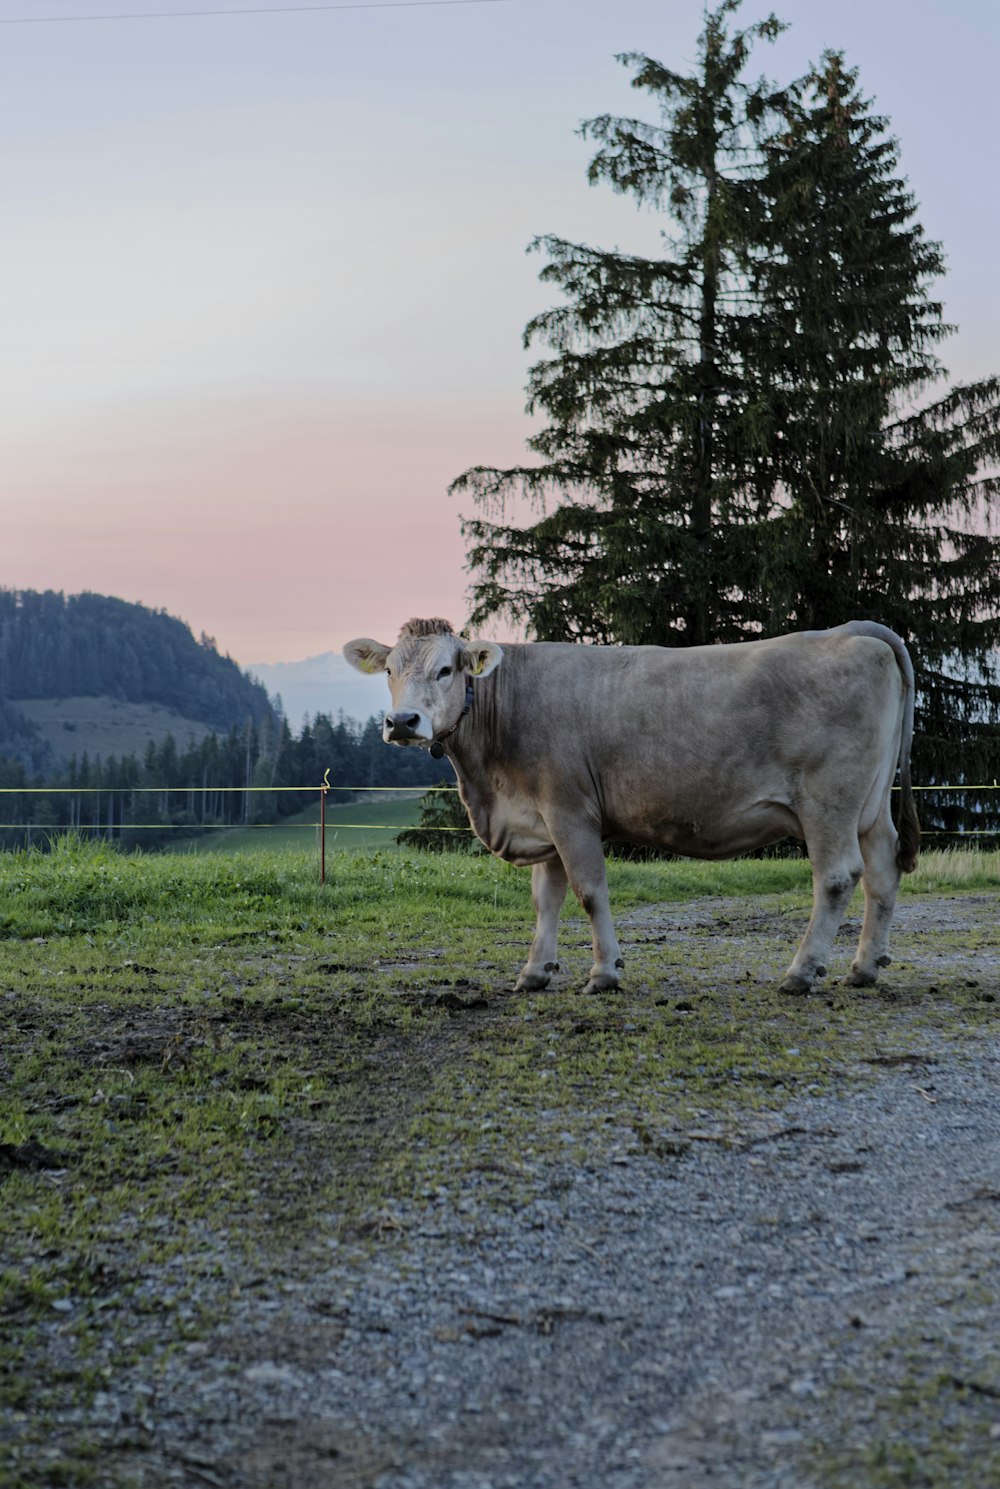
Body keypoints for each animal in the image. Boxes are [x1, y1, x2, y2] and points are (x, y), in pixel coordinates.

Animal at [345, 622, 922, 994]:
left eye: (446, 669)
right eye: (390, 669)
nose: (402, 722)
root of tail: (853, 632)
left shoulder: (570, 811)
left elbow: (588, 892)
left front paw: (603, 973)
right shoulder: (543, 819)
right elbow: (545, 900)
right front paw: (534, 972)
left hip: (829, 800)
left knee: (837, 876)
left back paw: (801, 973)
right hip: (871, 805)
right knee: (882, 871)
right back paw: (864, 967)